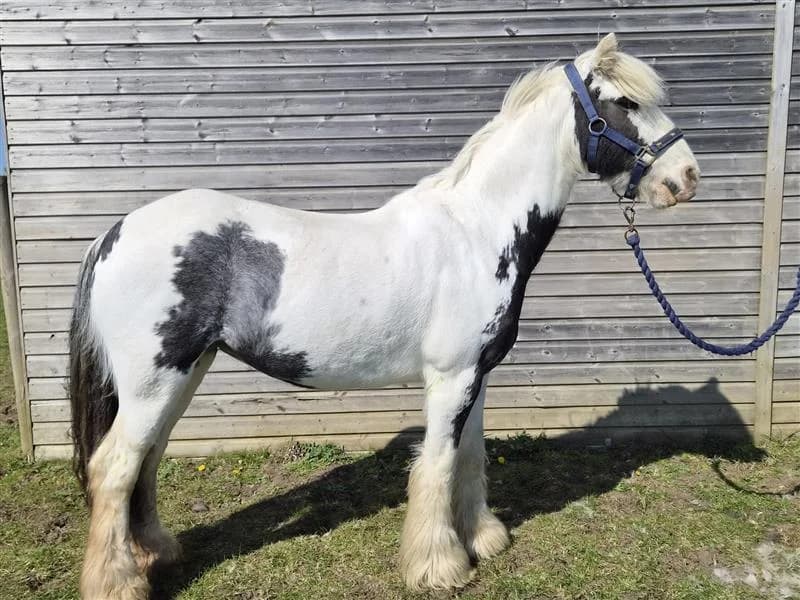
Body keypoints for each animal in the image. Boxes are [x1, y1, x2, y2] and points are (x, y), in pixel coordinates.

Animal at [69, 33, 699, 599]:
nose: (687, 178)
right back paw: (118, 584)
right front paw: (439, 567)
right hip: (156, 380)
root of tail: (114, 233)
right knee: (115, 468)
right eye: (625, 103)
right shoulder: (450, 378)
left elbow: (470, 456)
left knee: (147, 460)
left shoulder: (476, 375)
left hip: (182, 374)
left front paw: (484, 538)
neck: (476, 232)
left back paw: (158, 552)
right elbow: (436, 465)